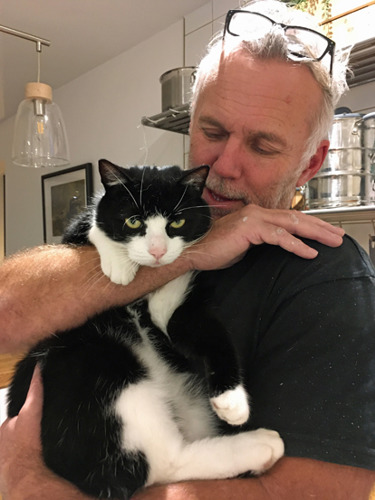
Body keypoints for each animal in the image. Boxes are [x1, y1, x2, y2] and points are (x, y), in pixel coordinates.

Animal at [7, 161, 284, 500]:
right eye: (133, 221)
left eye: (177, 222)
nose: (157, 251)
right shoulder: (80, 232)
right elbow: (93, 223)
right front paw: (119, 264)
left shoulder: (179, 310)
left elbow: (210, 336)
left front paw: (232, 400)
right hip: (101, 363)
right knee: (162, 464)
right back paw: (260, 446)